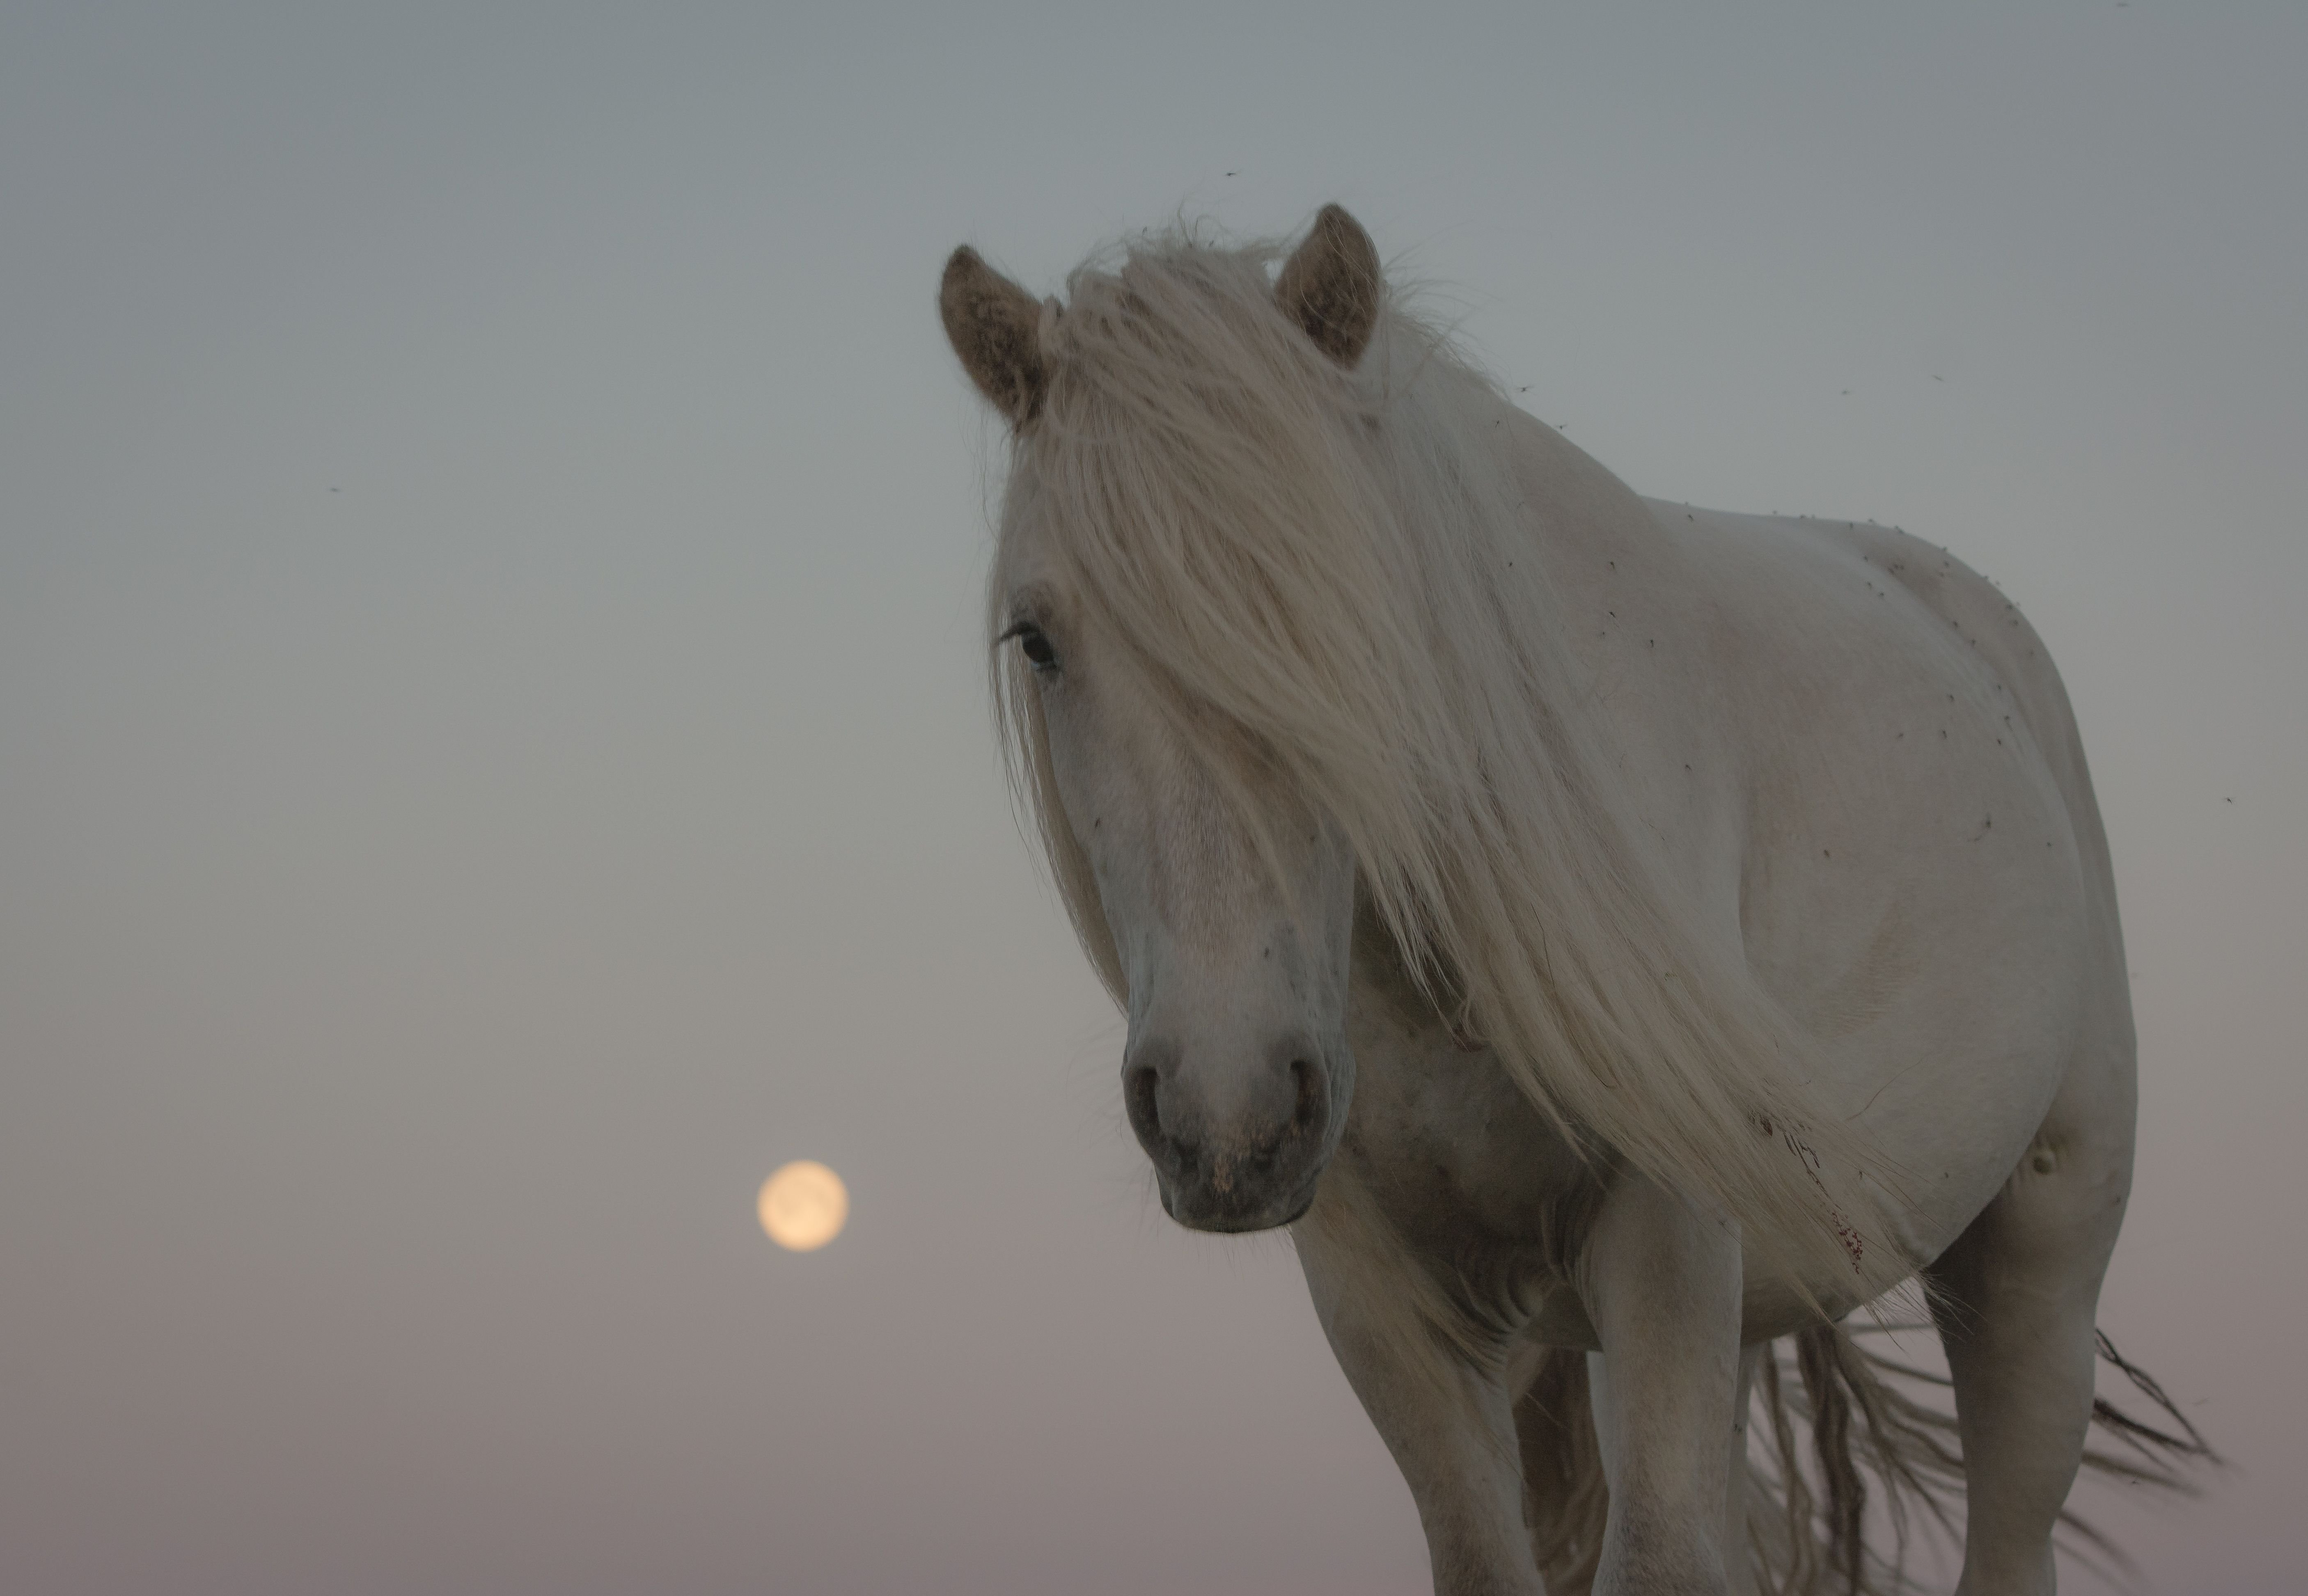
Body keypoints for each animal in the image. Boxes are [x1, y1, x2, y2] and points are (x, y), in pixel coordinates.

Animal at [937, 205, 2197, 1587]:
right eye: (1037, 641)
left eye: (1362, 617)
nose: (1227, 1113)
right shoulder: (1384, 1302)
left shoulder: (1666, 1239)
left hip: (2034, 1266)